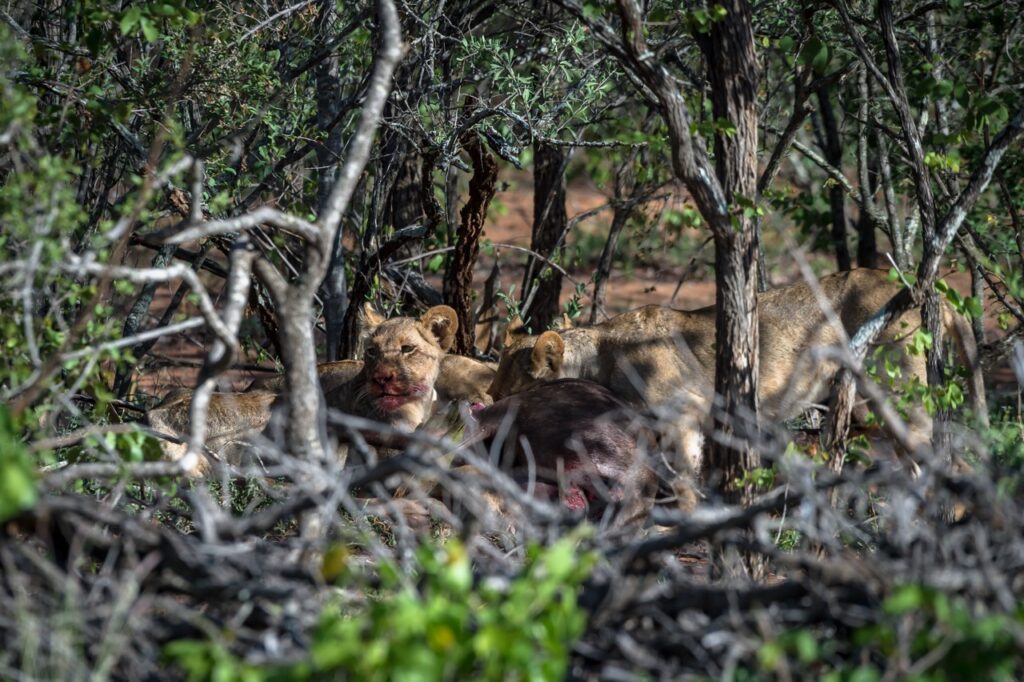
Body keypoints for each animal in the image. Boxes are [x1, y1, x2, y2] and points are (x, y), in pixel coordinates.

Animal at [489, 269, 987, 476]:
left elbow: (685, 471)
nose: (488, 404)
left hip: (898, 395)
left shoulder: (686, 414)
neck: (600, 352)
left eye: (506, 389)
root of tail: (931, 295)